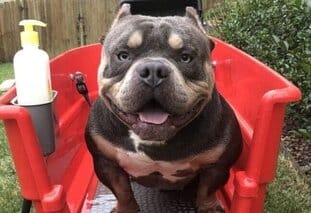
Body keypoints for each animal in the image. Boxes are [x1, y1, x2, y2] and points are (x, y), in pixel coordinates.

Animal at [86, 3, 244, 213]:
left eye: (186, 58)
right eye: (123, 55)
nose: (153, 70)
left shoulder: (217, 166)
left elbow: (207, 190)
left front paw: (208, 208)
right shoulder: (106, 163)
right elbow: (122, 191)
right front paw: (126, 208)